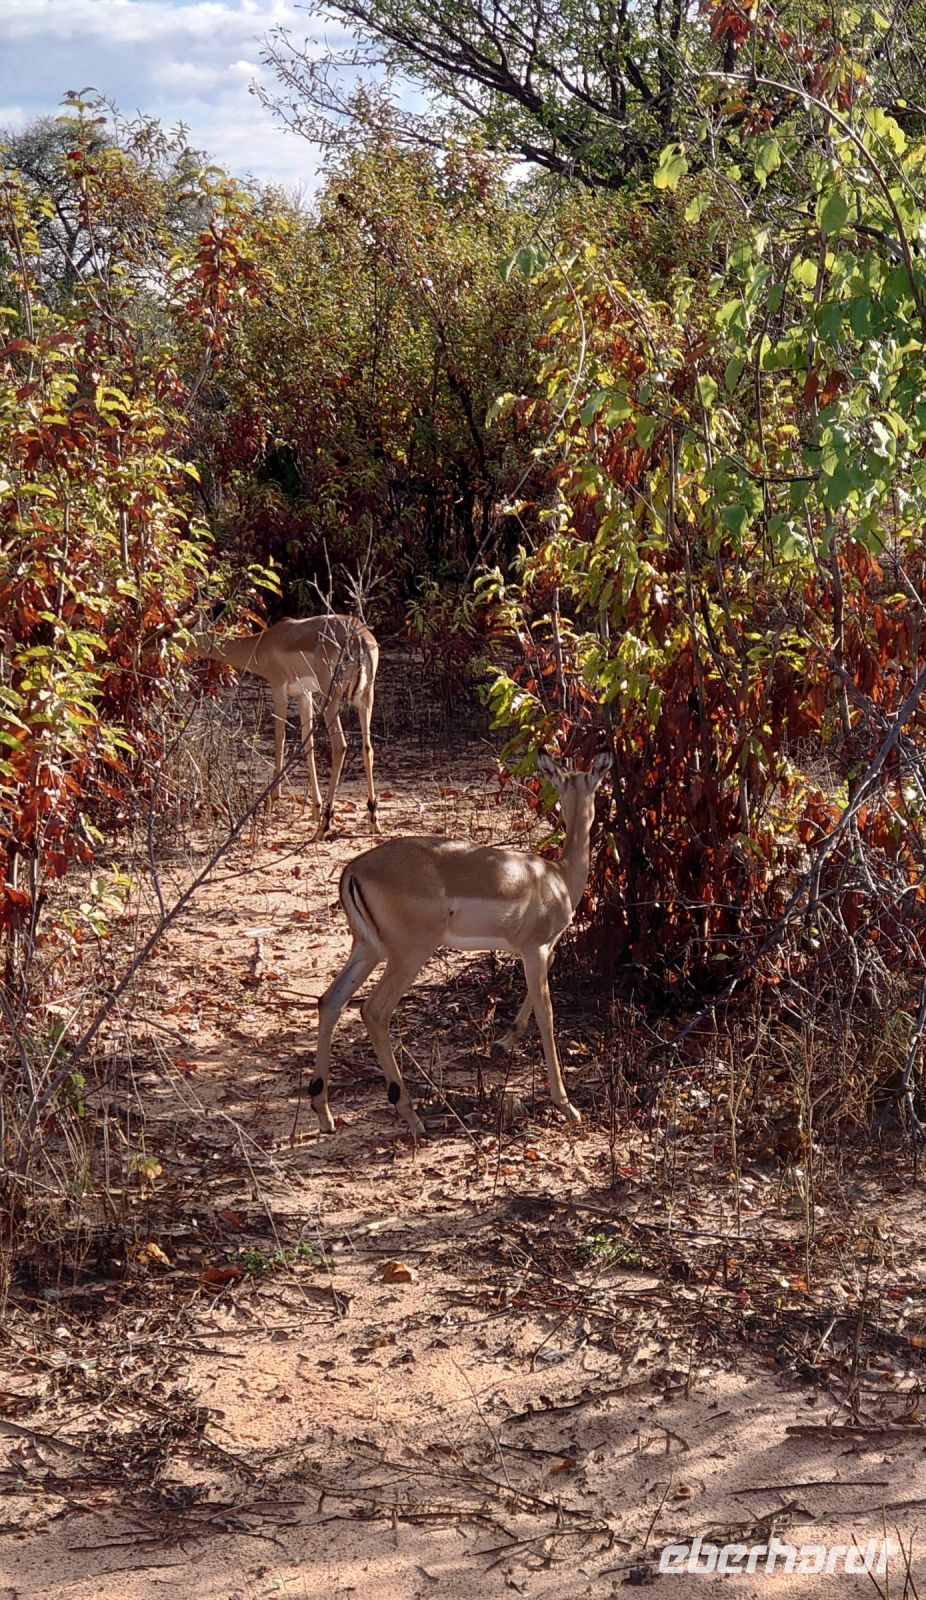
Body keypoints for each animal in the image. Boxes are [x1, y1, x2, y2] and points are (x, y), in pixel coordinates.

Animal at [194, 614, 379, 840]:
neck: (264, 643)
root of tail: (358, 637)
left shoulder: (278, 689)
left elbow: (279, 739)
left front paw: (272, 800)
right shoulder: (304, 695)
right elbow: (308, 745)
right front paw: (315, 809)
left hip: (331, 698)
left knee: (340, 746)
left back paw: (325, 825)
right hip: (366, 696)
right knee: (368, 748)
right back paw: (373, 819)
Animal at [308, 750, 612, 1135]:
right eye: (595, 782)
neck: (556, 876)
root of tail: (353, 870)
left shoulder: (541, 952)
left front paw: (503, 1042)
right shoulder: (536, 949)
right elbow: (547, 1013)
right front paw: (566, 1104)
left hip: (367, 949)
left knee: (330, 1001)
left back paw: (324, 1113)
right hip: (408, 955)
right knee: (373, 1011)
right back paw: (411, 1115)